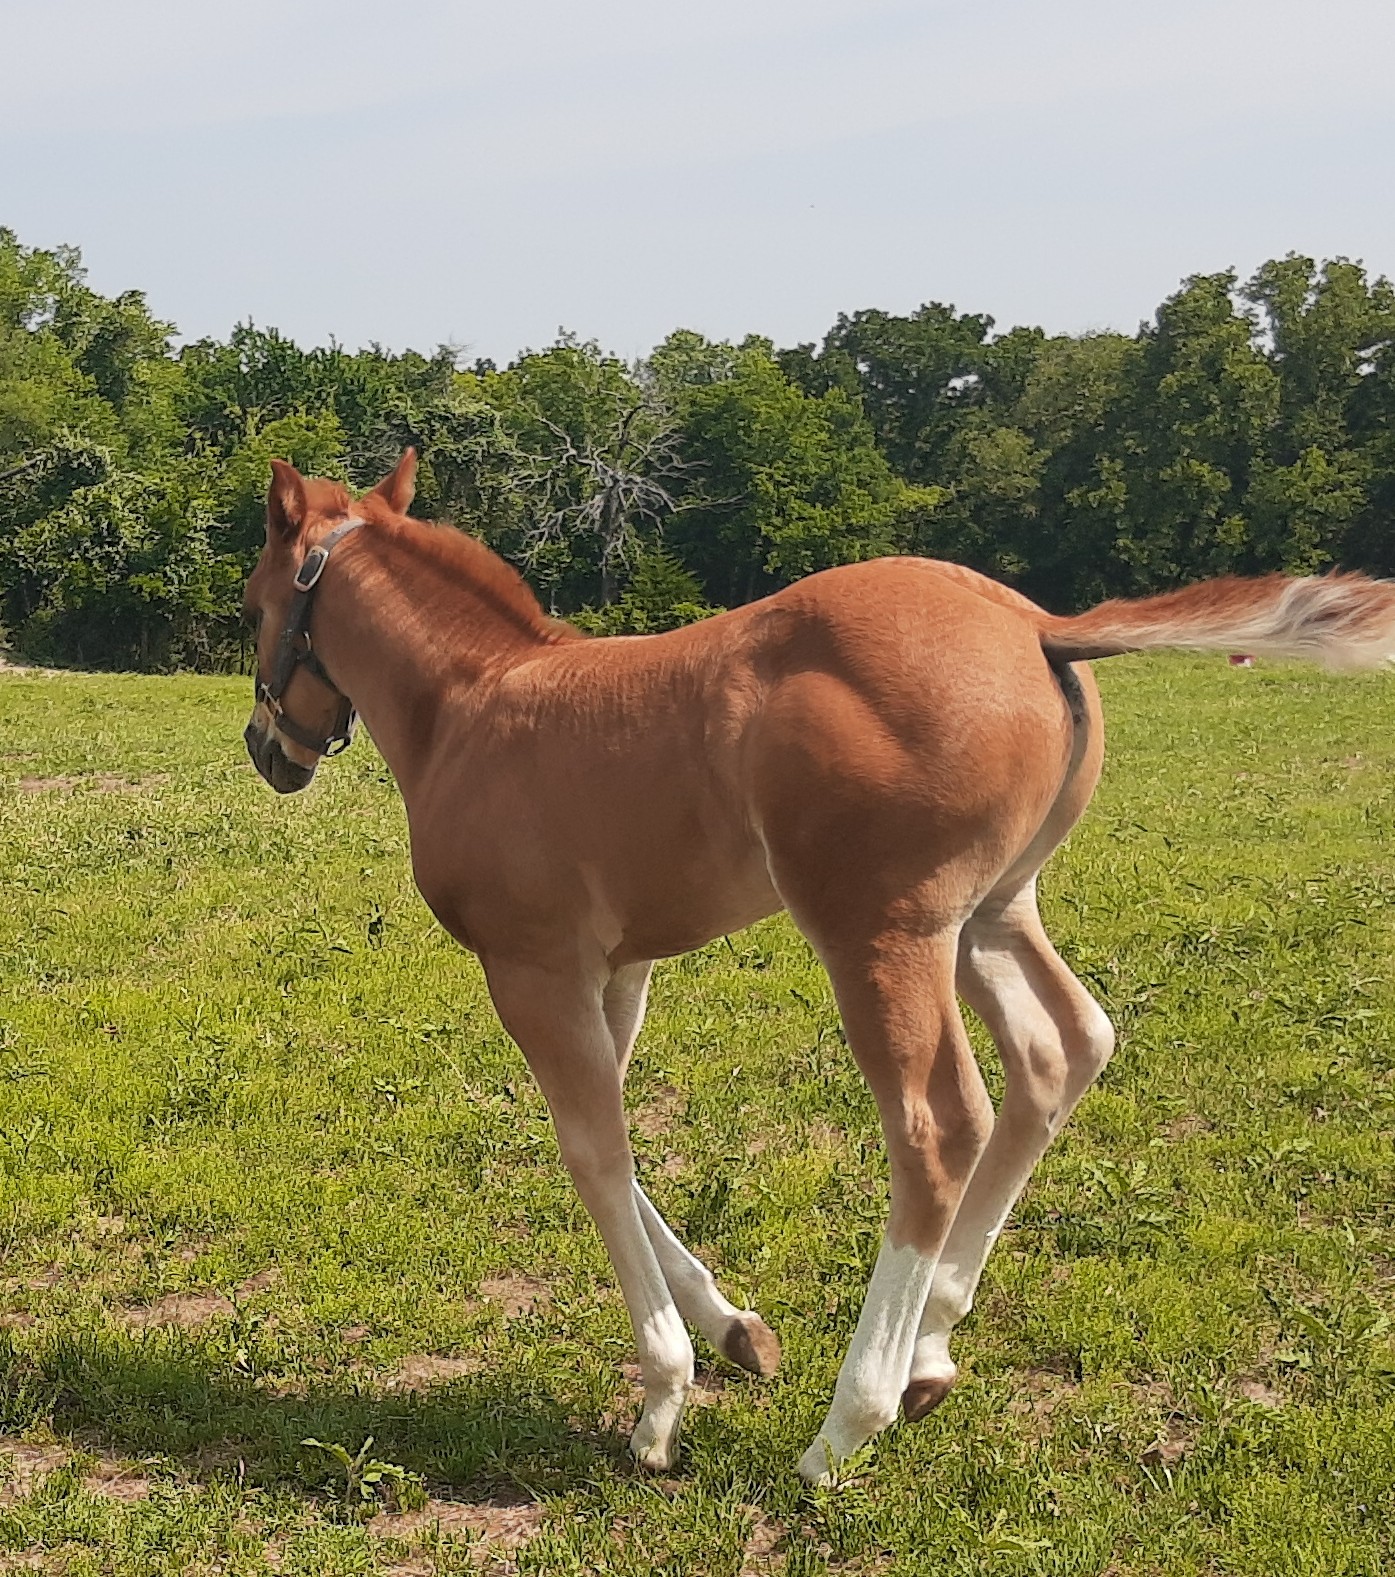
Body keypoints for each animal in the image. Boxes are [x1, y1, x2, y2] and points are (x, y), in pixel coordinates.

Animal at [244, 454, 1393, 1476]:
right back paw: (929, 1351)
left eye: (254, 602)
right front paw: (735, 1328)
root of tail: (1033, 624)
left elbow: (594, 1154)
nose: (269, 750)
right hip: (988, 914)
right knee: (1063, 1050)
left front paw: (662, 1401)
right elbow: (611, 1132)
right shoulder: (615, 967)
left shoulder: (532, 968)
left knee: (939, 1125)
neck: (469, 707)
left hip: (880, 932)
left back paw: (847, 1425)